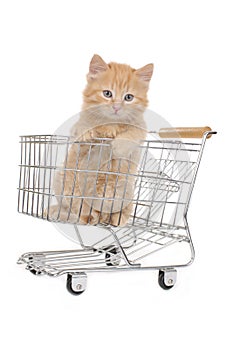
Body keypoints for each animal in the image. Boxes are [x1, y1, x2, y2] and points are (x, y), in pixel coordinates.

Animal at [47, 53, 153, 226]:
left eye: (128, 97)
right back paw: (84, 216)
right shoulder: (79, 141)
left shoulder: (141, 127)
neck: (110, 125)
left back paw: (116, 219)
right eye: (107, 93)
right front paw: (86, 131)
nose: (116, 107)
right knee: (78, 209)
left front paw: (119, 145)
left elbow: (133, 132)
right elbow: (83, 126)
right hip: (64, 180)